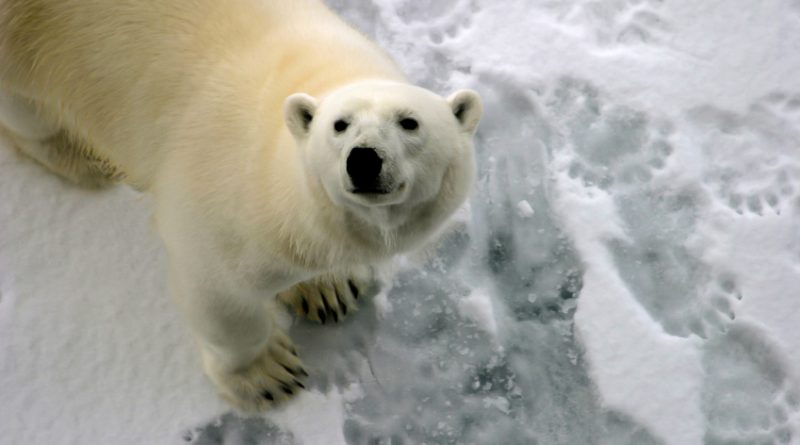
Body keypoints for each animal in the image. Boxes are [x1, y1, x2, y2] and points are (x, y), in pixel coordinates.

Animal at [0, 0, 482, 410]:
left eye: (409, 122)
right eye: (339, 125)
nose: (363, 160)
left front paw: (327, 288)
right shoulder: (220, 200)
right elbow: (222, 298)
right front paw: (268, 375)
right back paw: (80, 156)